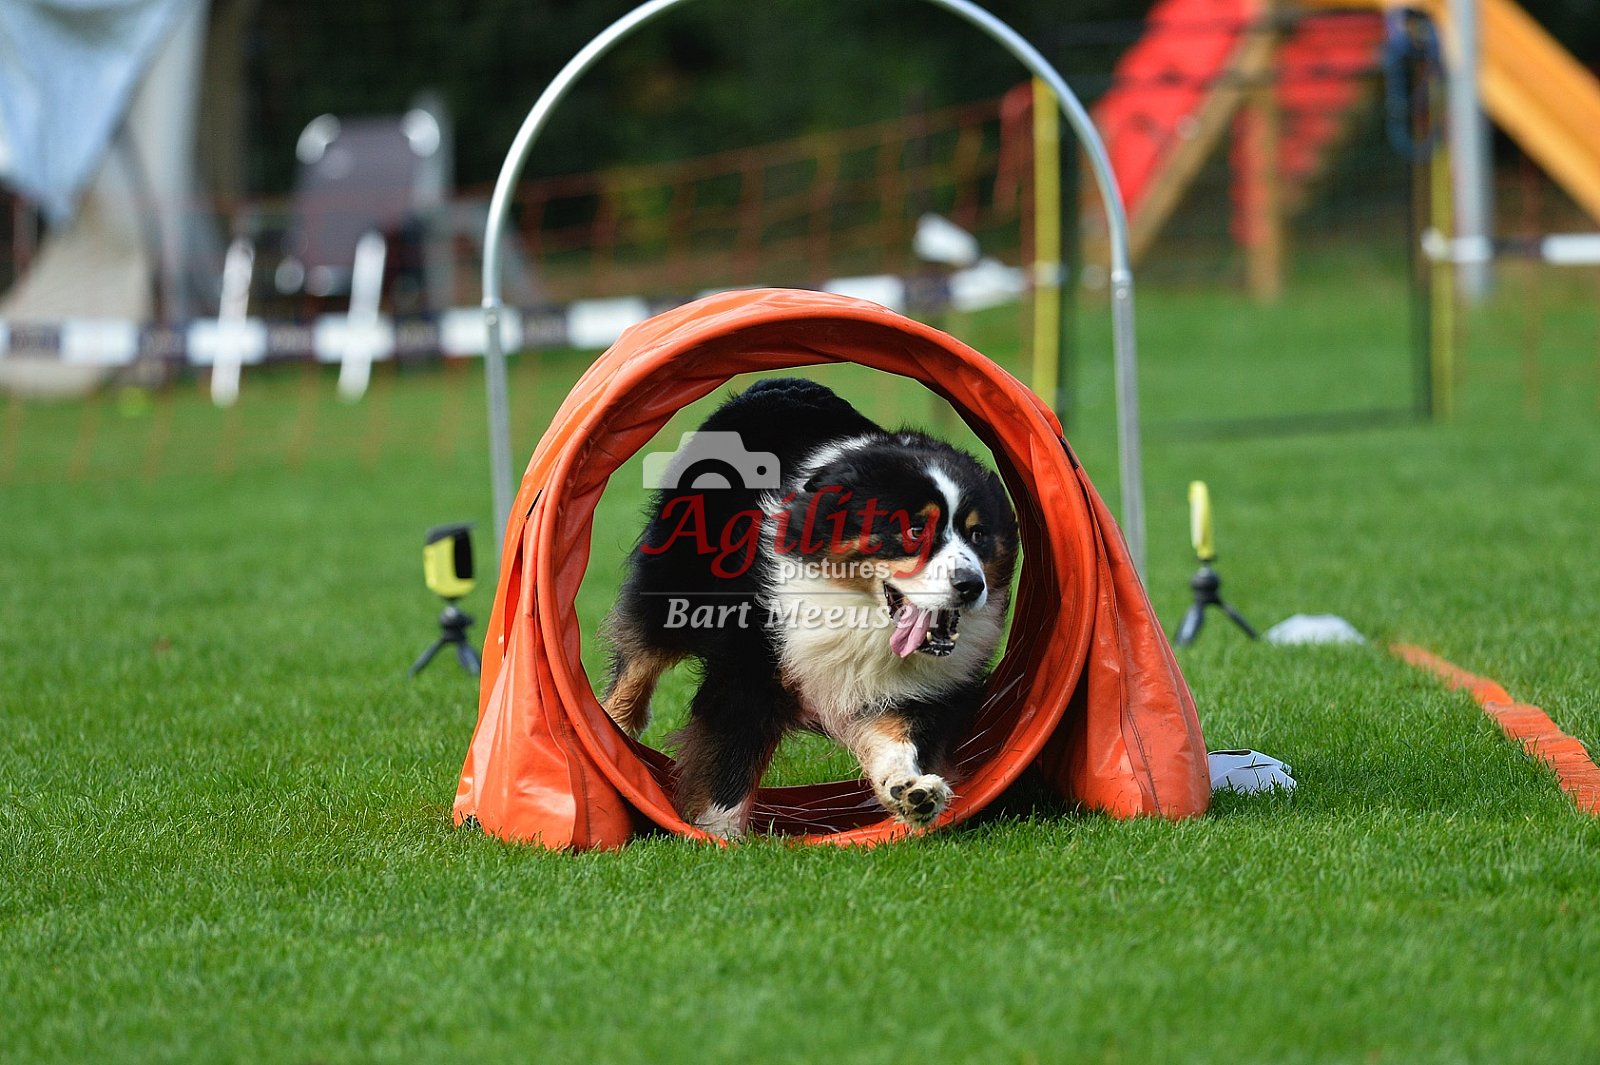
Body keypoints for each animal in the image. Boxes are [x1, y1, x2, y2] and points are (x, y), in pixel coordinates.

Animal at [602, 377, 1017, 838]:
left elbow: (896, 735)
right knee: (639, 658)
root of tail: (779, 381)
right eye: (913, 529)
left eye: (978, 534)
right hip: (674, 578)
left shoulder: (908, 688)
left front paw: (911, 791)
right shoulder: (751, 665)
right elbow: (732, 756)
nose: (971, 585)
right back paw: (613, 730)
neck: (858, 608)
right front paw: (720, 834)